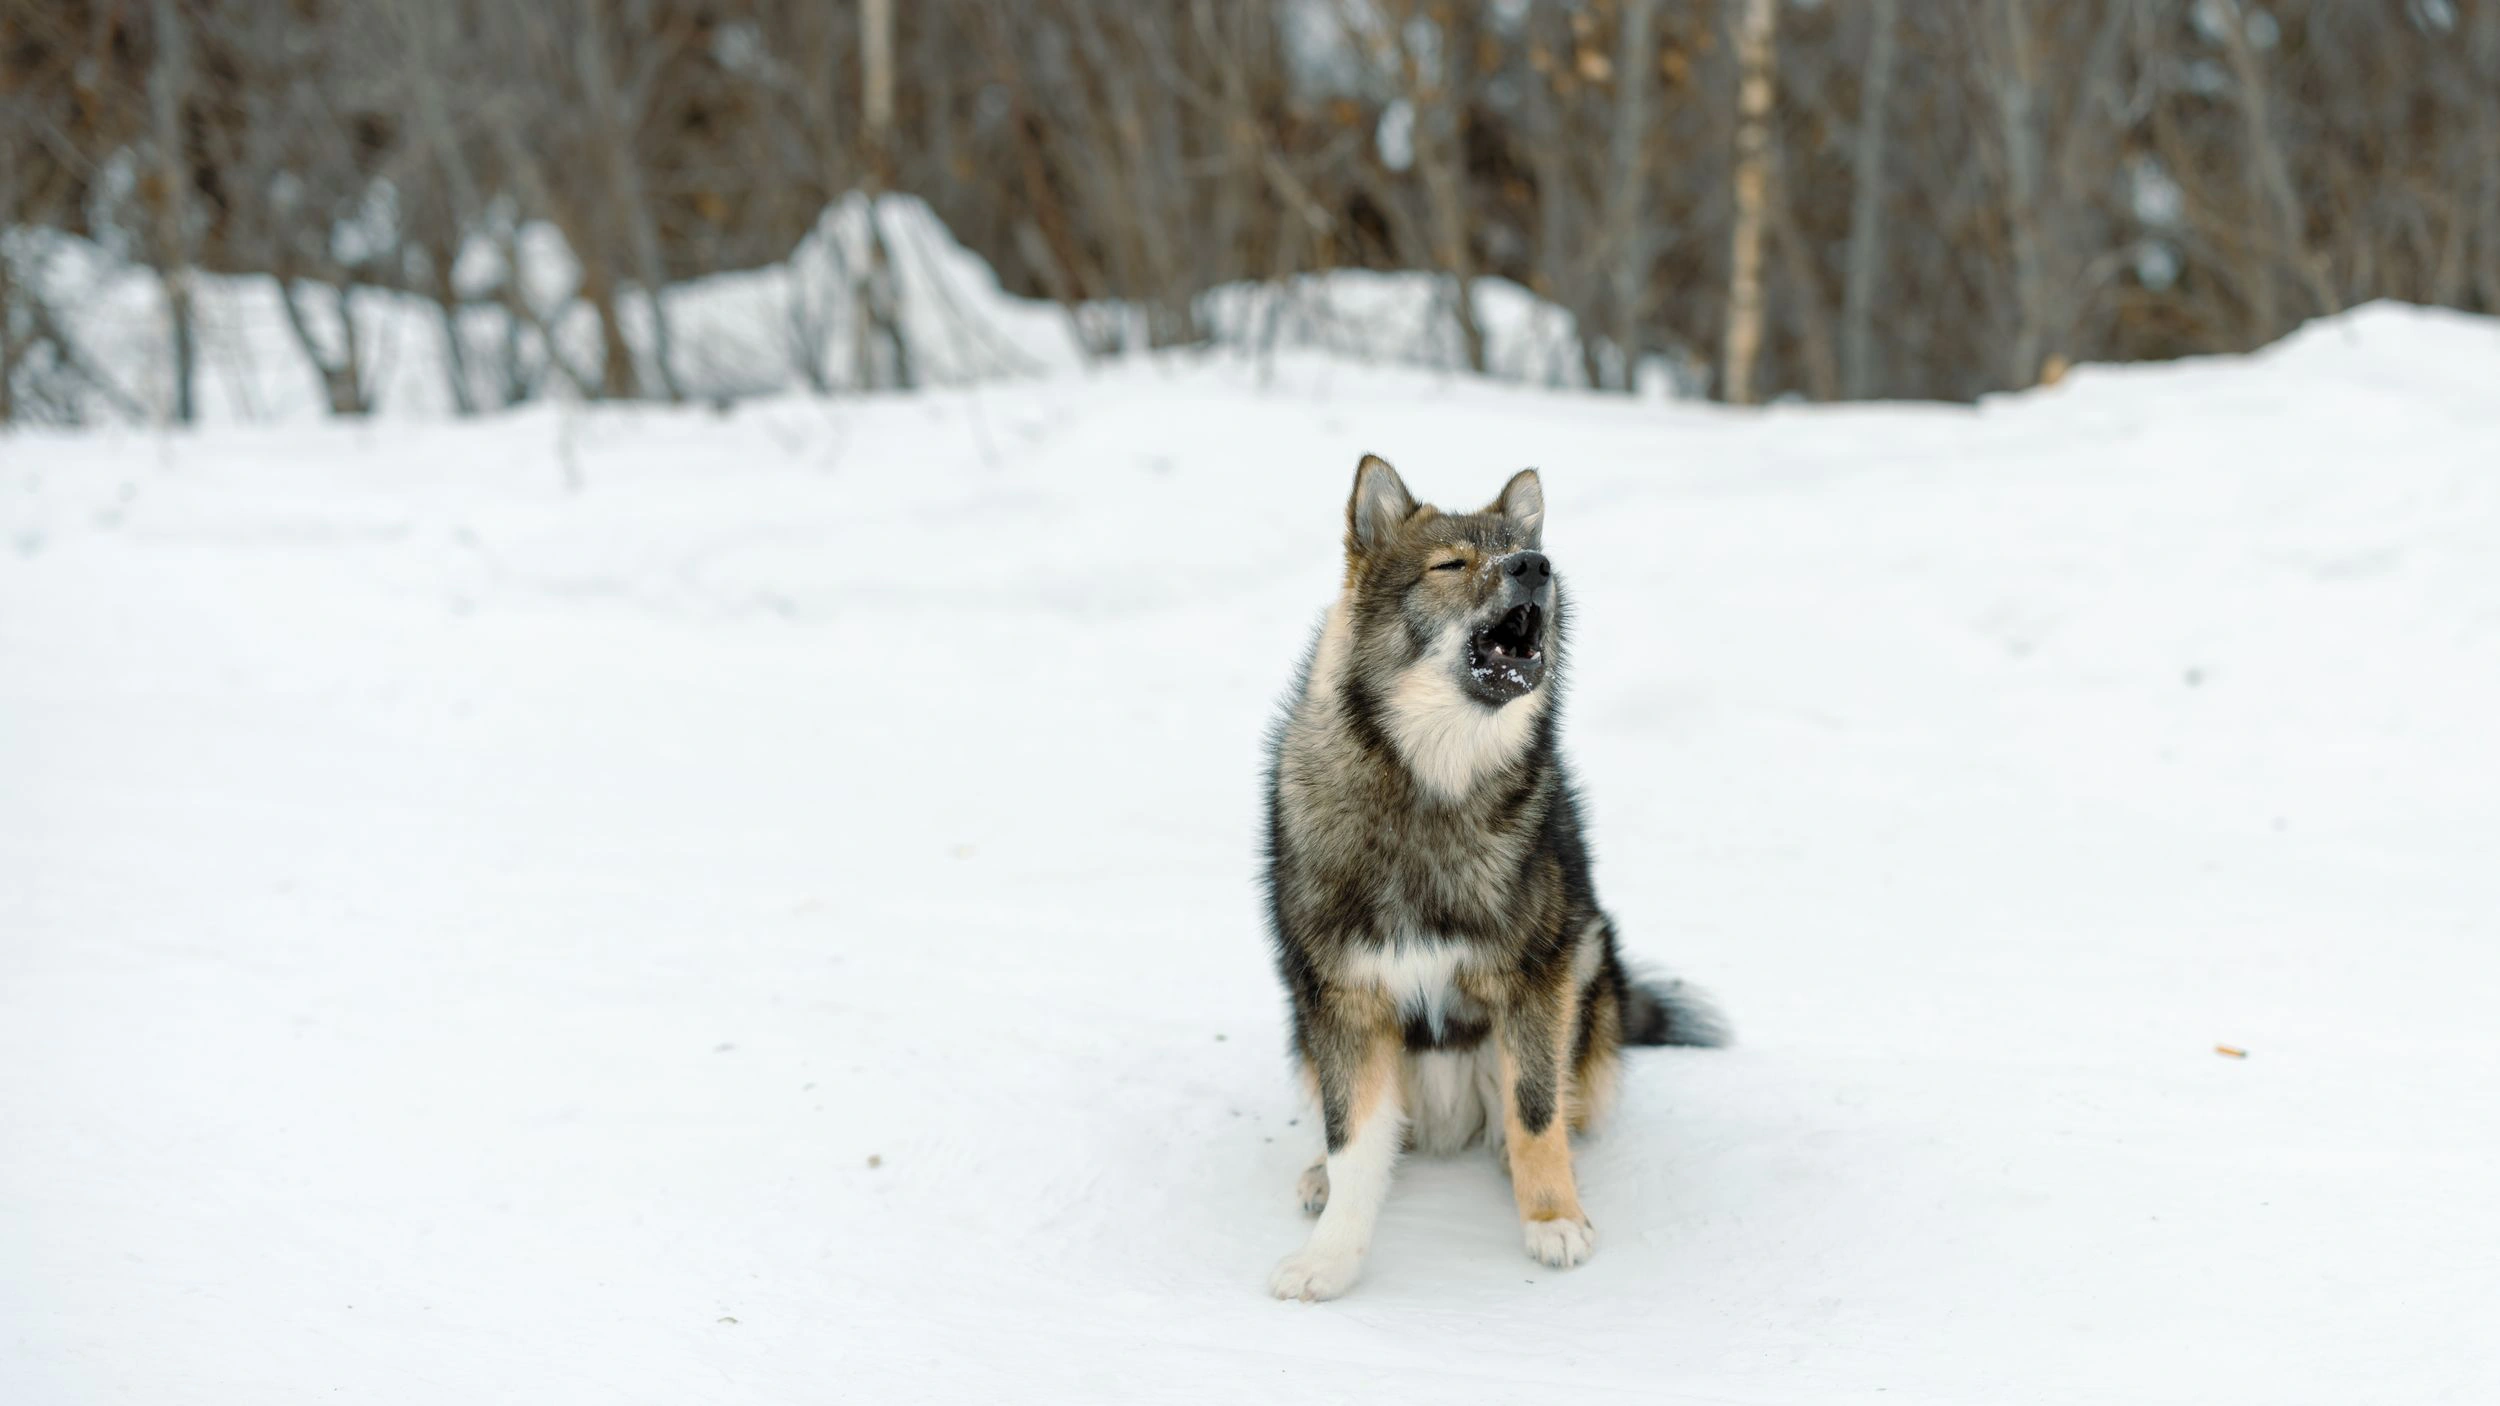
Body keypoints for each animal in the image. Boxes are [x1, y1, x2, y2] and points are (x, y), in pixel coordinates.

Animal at [1260, 455, 1730, 1300]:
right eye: (1450, 566)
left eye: (1522, 551)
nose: (1534, 566)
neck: (1431, 791)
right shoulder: (1343, 1000)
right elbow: (1354, 1141)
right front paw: (1330, 1257)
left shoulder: (1536, 982)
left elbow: (1535, 1112)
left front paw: (1551, 1218)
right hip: (1303, 1021)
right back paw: (1318, 1172)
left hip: (1590, 960)